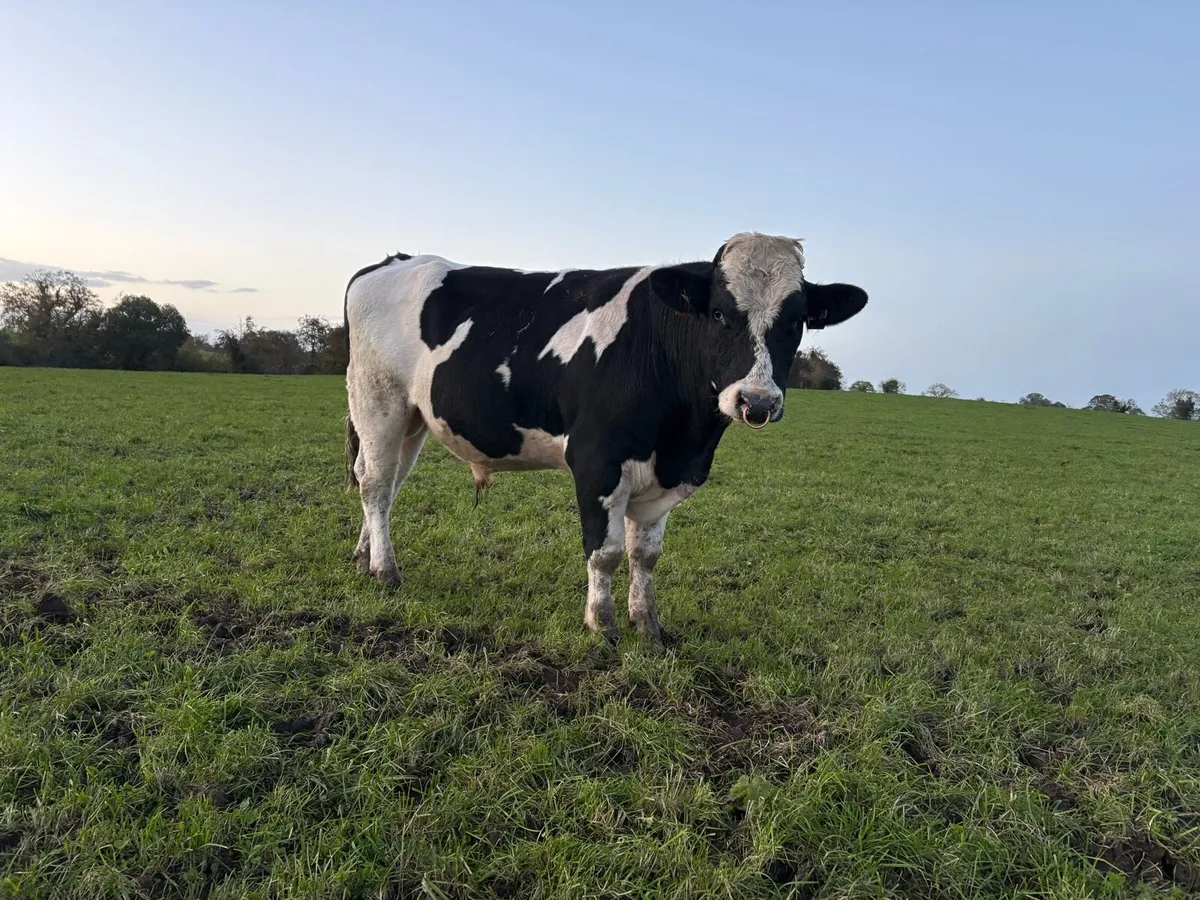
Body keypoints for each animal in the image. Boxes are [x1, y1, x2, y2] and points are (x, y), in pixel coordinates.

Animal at [343, 232, 867, 644]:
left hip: (413, 417)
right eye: (719, 313)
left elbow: (646, 554)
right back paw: (385, 570)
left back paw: (364, 557)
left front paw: (648, 625)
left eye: (797, 320)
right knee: (375, 484)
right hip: (377, 399)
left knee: (384, 483)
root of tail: (391, 260)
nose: (756, 401)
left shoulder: (665, 475)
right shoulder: (597, 461)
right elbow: (607, 551)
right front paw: (603, 624)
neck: (683, 437)